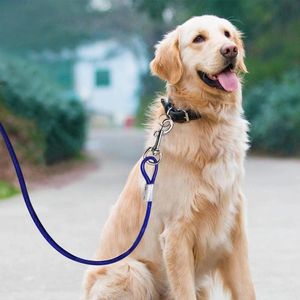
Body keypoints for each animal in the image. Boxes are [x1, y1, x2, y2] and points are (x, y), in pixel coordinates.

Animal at [82, 15, 255, 300]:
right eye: (198, 39)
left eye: (227, 35)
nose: (231, 50)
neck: (205, 119)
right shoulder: (176, 234)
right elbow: (183, 291)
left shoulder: (234, 231)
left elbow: (247, 290)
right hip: (133, 270)